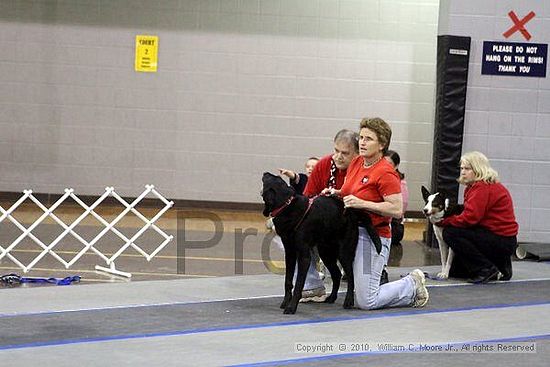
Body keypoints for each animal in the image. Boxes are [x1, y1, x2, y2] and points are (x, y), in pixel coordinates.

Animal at [260, 174, 382, 314]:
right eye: (277, 177)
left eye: (271, 178)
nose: (265, 173)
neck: (287, 205)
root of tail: (351, 212)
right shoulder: (290, 252)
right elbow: (288, 281)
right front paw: (285, 302)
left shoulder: (304, 256)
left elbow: (299, 285)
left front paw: (291, 307)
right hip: (326, 253)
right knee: (337, 275)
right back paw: (332, 297)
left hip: (344, 253)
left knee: (350, 277)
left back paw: (348, 301)